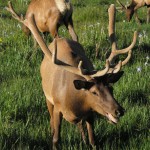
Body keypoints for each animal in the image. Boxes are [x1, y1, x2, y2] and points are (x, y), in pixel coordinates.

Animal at [6, 2, 137, 149]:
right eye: (94, 92)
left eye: (111, 88)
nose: (119, 111)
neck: (75, 105)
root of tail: (60, 39)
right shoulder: (58, 108)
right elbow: (56, 139)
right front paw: (54, 140)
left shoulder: (90, 113)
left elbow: (93, 140)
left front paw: (88, 142)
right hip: (47, 98)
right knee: (51, 120)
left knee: (80, 126)